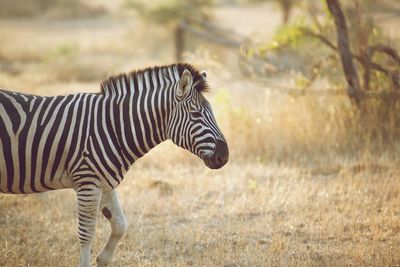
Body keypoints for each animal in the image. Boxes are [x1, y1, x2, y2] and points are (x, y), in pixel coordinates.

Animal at [0, 63, 228, 267]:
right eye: (196, 114)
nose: (224, 156)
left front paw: (103, 259)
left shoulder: (104, 182)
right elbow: (87, 233)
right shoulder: (88, 182)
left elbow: (120, 224)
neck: (112, 127)